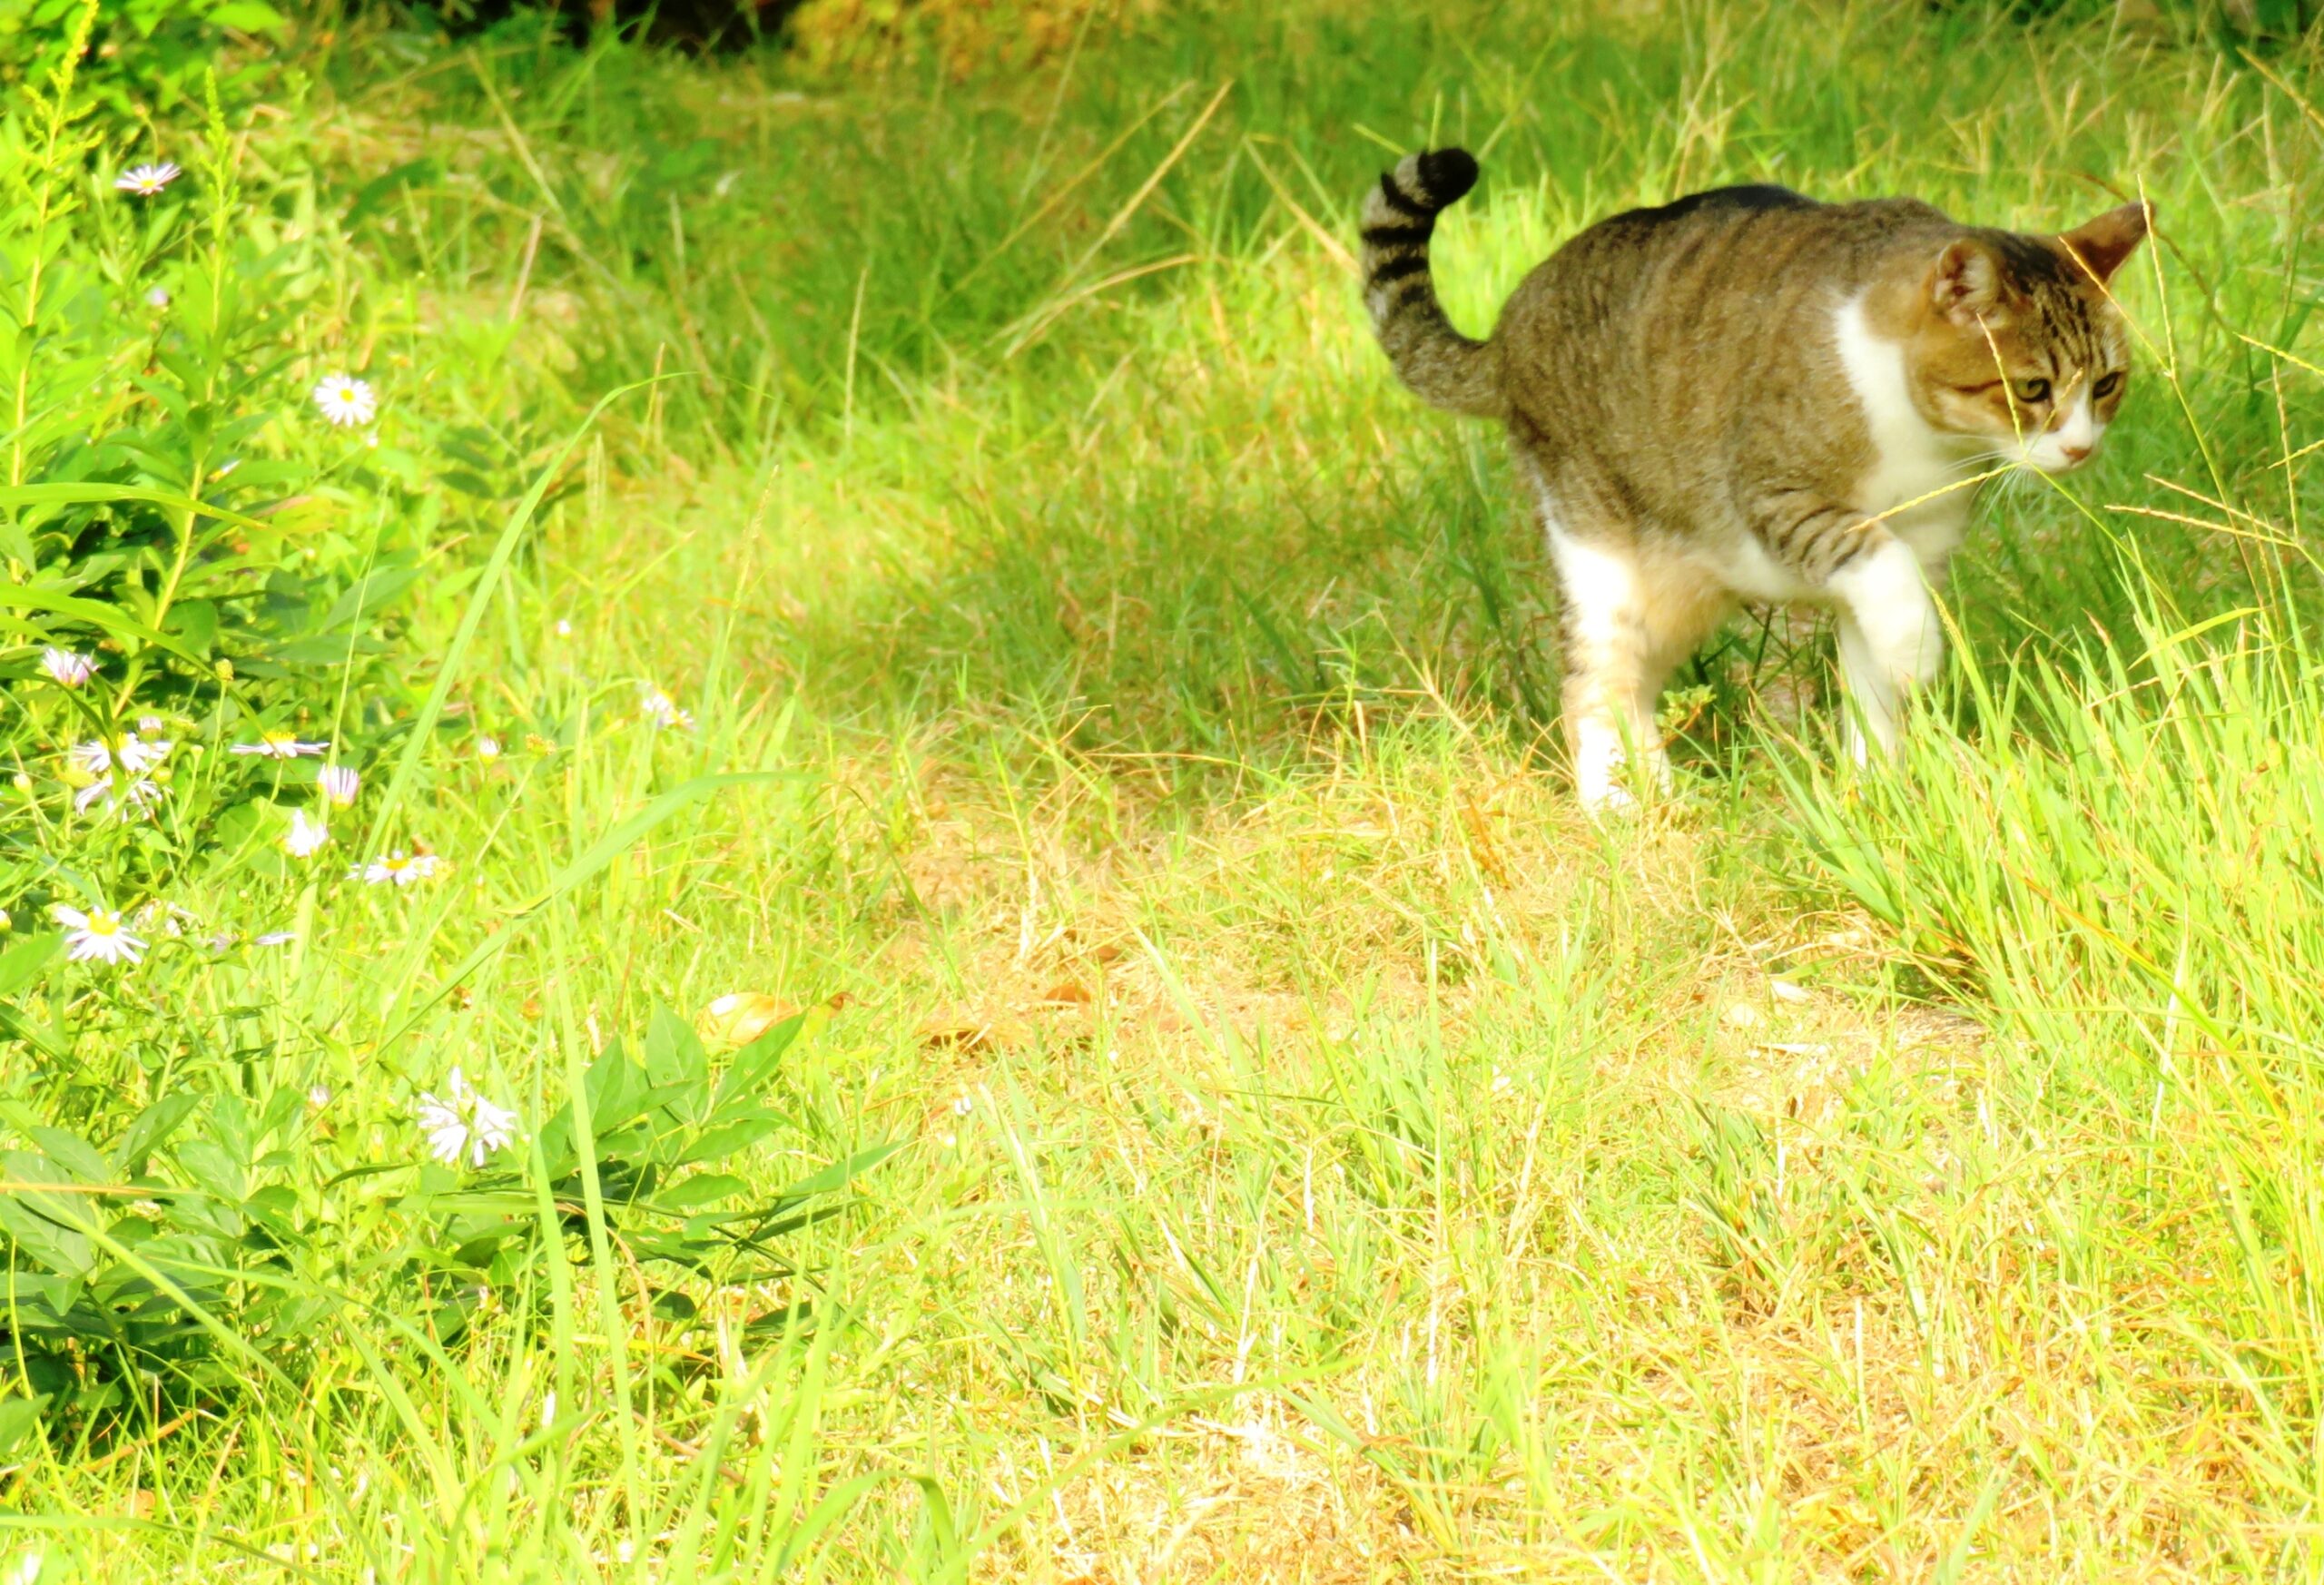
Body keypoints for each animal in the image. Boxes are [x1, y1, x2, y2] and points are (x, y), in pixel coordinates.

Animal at [1357, 146, 2138, 803]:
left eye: (2107, 385)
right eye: (2033, 389)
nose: (2080, 449)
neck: (1923, 444)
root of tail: (1507, 329)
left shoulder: (1923, 540)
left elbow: (1872, 686)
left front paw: (1876, 792)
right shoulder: (1776, 496)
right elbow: (1881, 568)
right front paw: (1917, 654)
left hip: (1682, 589)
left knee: (1637, 679)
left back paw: (1656, 783)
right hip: (1599, 549)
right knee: (1592, 678)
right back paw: (1618, 806)